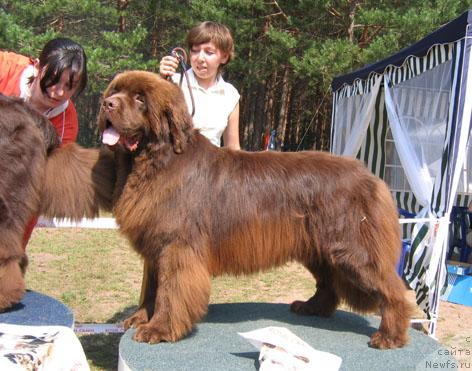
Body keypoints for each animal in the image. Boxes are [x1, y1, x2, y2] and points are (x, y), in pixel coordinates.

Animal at [90, 70, 412, 352]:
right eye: (114, 91)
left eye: (140, 99)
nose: (106, 104)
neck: (155, 162)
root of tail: (372, 177)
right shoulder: (156, 246)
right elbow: (152, 287)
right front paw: (139, 318)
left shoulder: (176, 246)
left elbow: (170, 290)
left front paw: (159, 329)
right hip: (319, 248)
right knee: (328, 283)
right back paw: (311, 307)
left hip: (352, 248)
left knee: (393, 289)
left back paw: (390, 335)